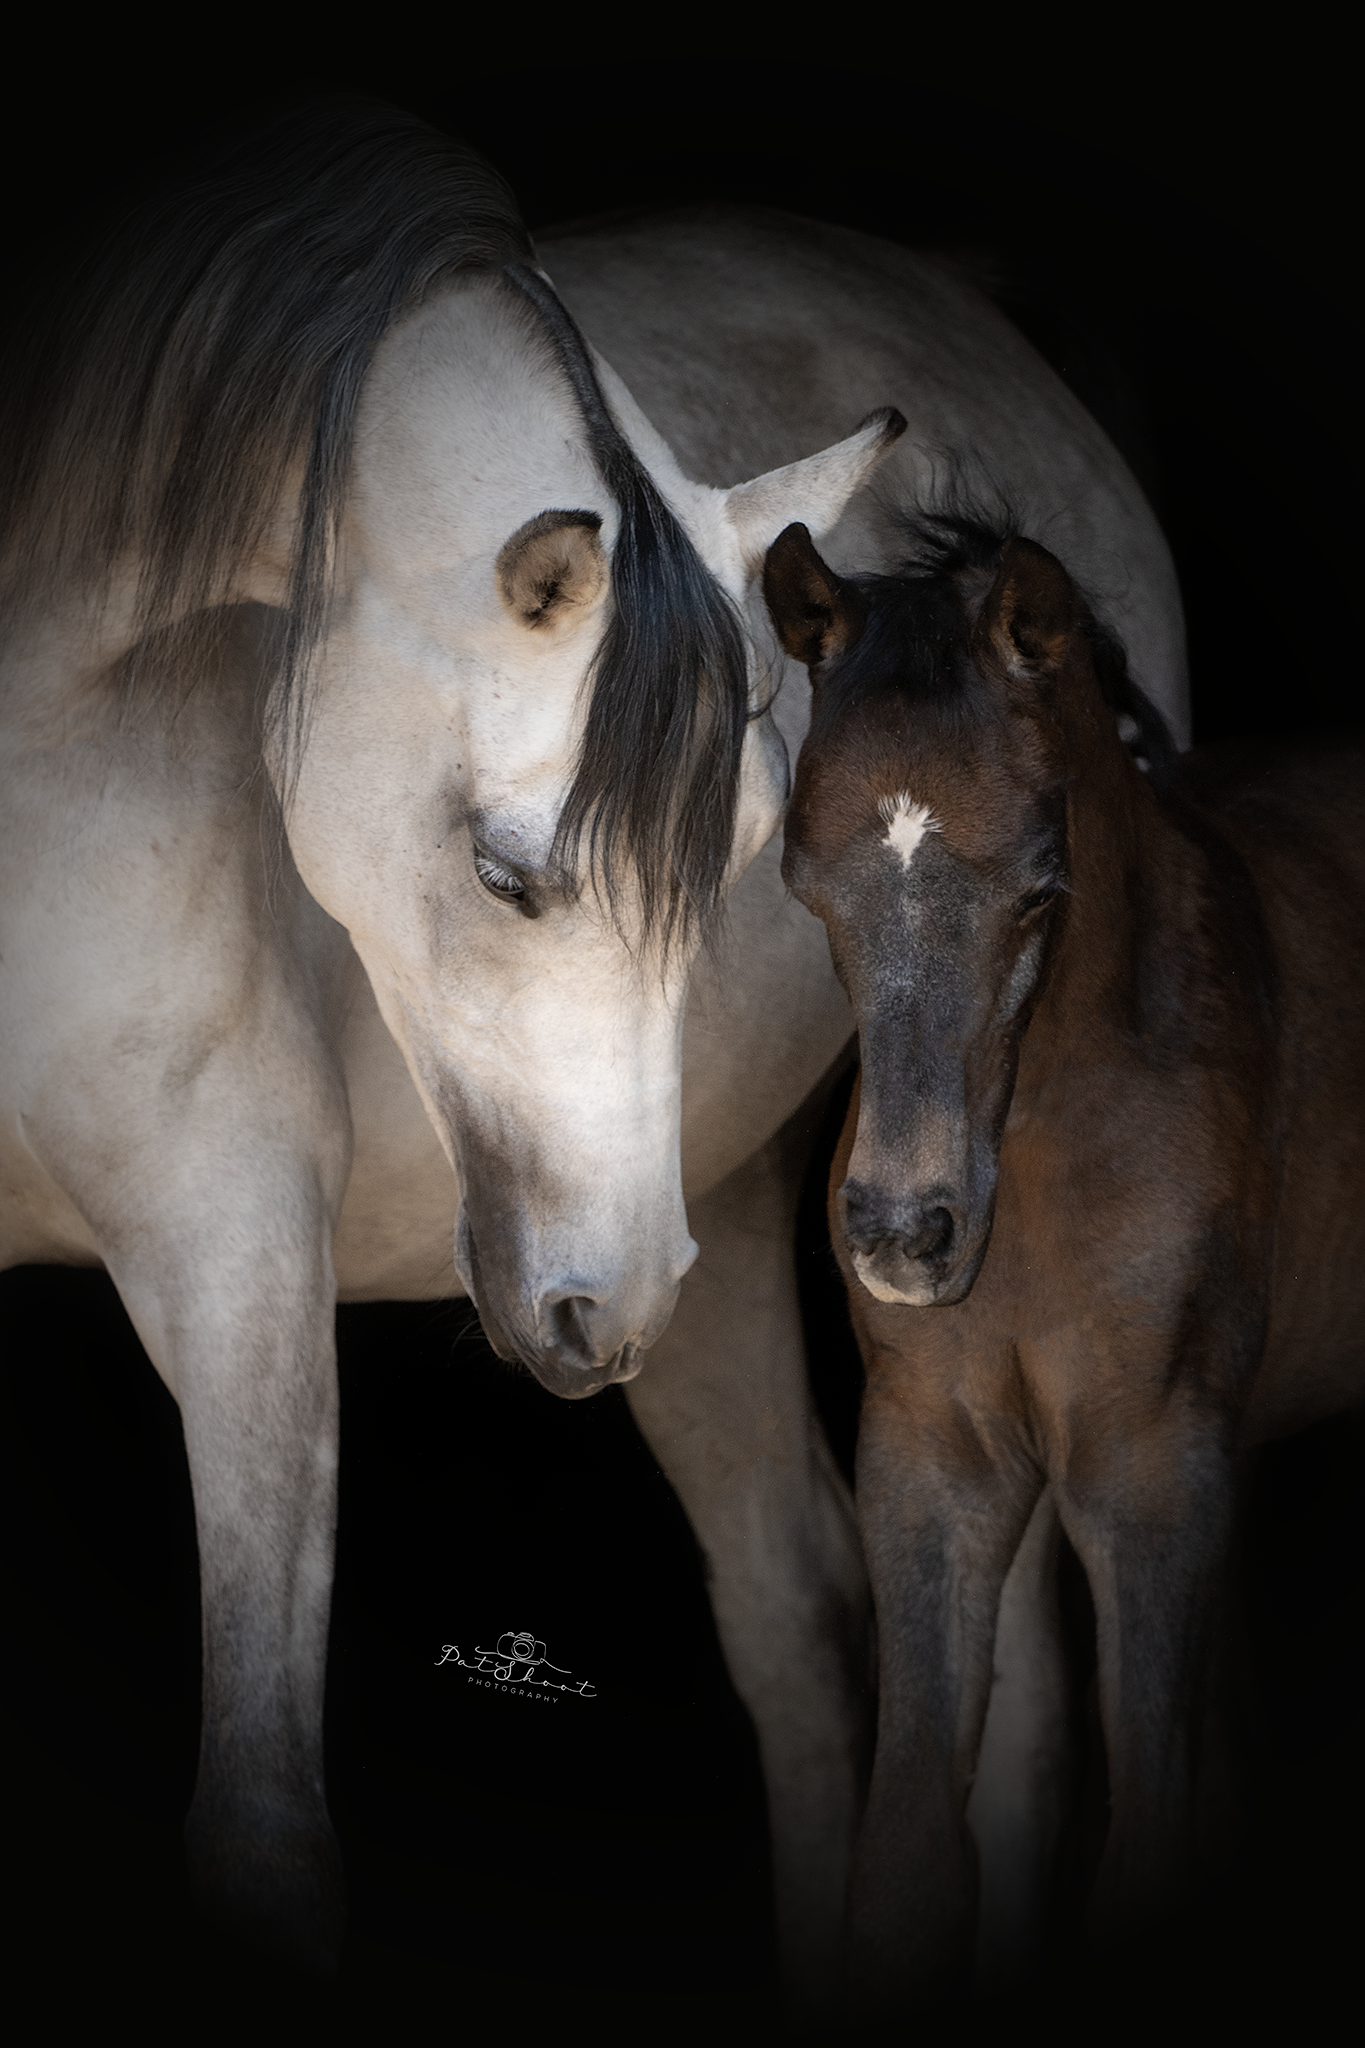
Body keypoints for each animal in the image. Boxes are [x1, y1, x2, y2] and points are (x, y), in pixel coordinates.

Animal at [0, 101, 1189, 2013]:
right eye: (507, 875)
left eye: (750, 851)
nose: (599, 1302)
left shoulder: (233, 1257)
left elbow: (259, 1821)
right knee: (797, 1624)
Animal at [761, 510, 1364, 2015]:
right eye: (805, 883)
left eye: (1041, 886)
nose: (903, 1234)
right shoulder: (932, 1460)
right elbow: (911, 1854)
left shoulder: (1150, 1470)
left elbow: (1147, 1842)